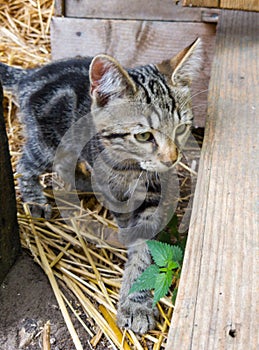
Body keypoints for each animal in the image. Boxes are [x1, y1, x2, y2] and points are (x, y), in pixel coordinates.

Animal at [0, 39, 203, 334]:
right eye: (144, 135)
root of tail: (30, 74)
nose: (171, 159)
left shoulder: (152, 195)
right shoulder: (116, 191)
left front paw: (136, 301)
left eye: (181, 129)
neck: (131, 167)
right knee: (26, 162)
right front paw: (135, 300)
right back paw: (35, 200)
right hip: (47, 144)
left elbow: (146, 249)